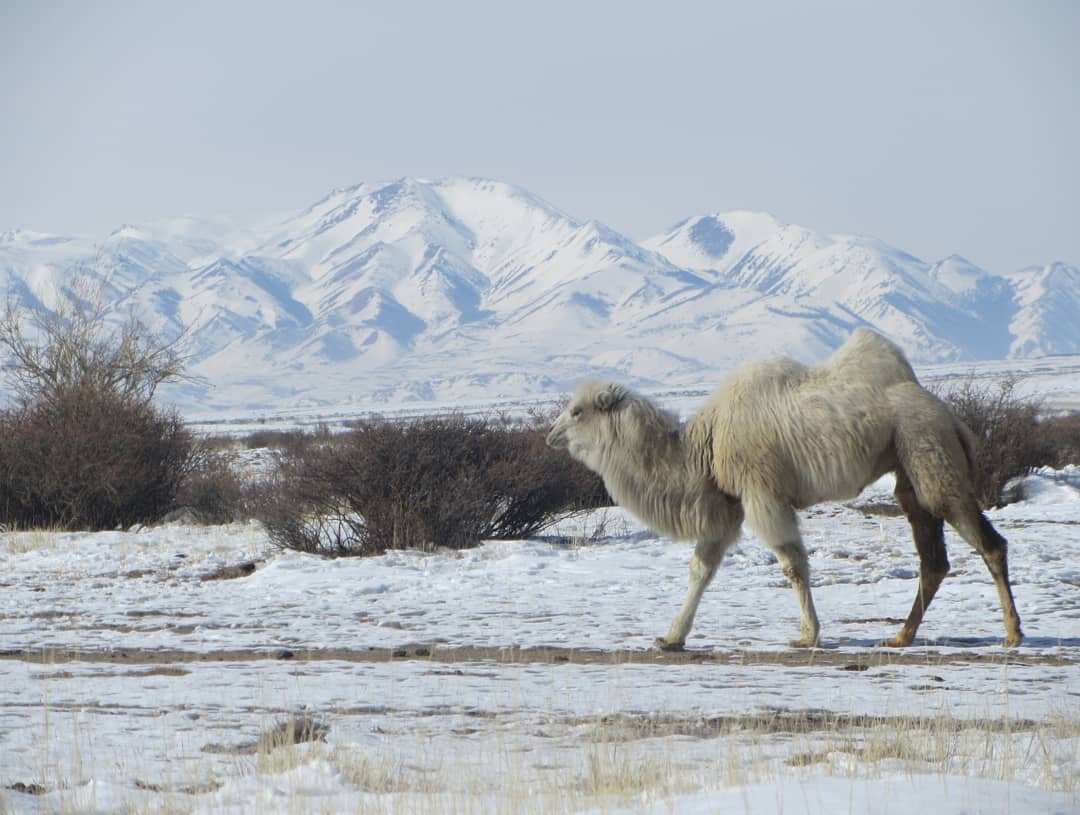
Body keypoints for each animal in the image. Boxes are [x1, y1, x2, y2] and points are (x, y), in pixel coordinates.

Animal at [544, 328, 1023, 652]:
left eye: (577, 411)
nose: (549, 435)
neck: (703, 447)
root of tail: (949, 415)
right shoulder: (728, 503)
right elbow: (701, 567)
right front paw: (671, 637)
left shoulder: (761, 493)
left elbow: (792, 564)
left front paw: (808, 635)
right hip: (909, 467)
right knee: (933, 558)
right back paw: (900, 637)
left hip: (927, 449)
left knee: (985, 541)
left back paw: (1012, 633)